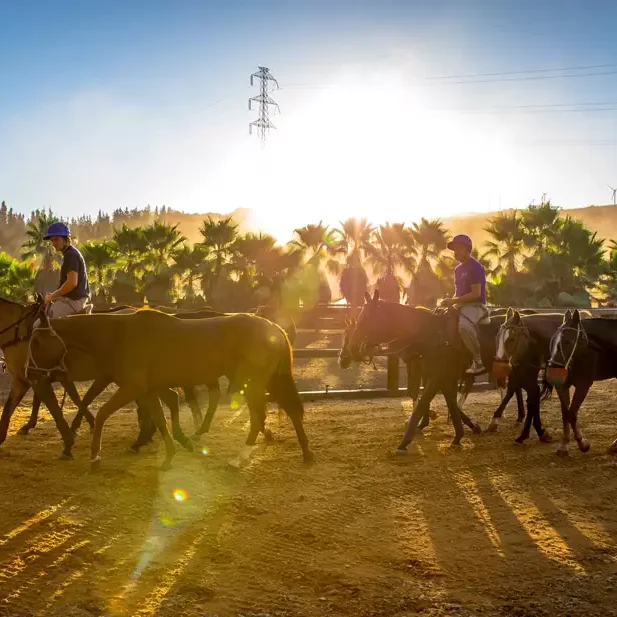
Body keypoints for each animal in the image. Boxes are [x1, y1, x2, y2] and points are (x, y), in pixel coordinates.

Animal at [27, 310, 312, 470]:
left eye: (37, 341)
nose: (30, 373)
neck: (121, 335)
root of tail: (275, 328)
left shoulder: (132, 387)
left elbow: (102, 415)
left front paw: (95, 457)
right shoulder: (148, 390)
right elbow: (160, 419)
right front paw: (170, 455)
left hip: (253, 383)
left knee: (259, 417)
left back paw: (238, 459)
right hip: (266, 382)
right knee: (289, 410)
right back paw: (306, 452)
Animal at [346, 292, 482, 450]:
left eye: (367, 318)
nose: (352, 348)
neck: (430, 335)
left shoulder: (435, 376)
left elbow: (423, 400)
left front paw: (405, 441)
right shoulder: (434, 375)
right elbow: (446, 401)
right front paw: (458, 433)